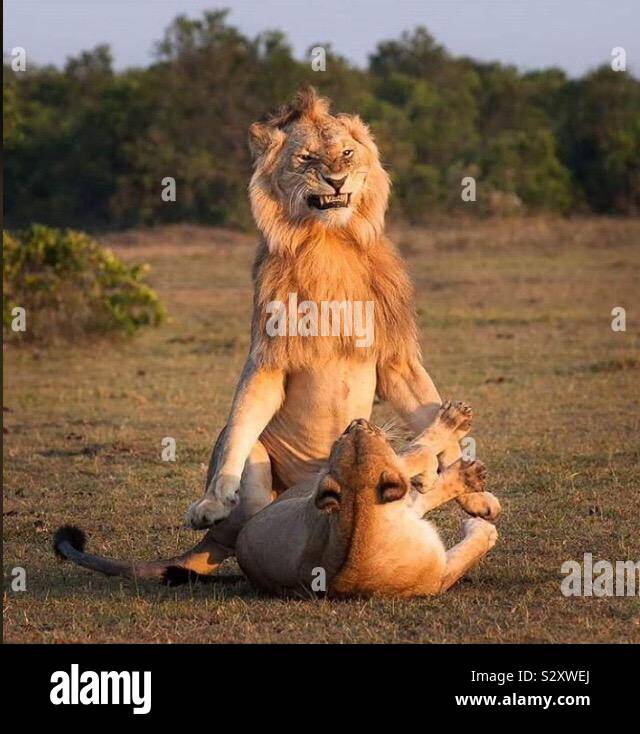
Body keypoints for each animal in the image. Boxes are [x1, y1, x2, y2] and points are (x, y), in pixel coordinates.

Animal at [52, 86, 500, 584]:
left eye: (346, 153)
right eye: (306, 159)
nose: (335, 179)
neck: (330, 243)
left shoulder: (395, 357)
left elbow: (426, 406)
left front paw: (478, 496)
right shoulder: (268, 355)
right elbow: (243, 415)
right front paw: (211, 499)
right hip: (260, 475)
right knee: (243, 460)